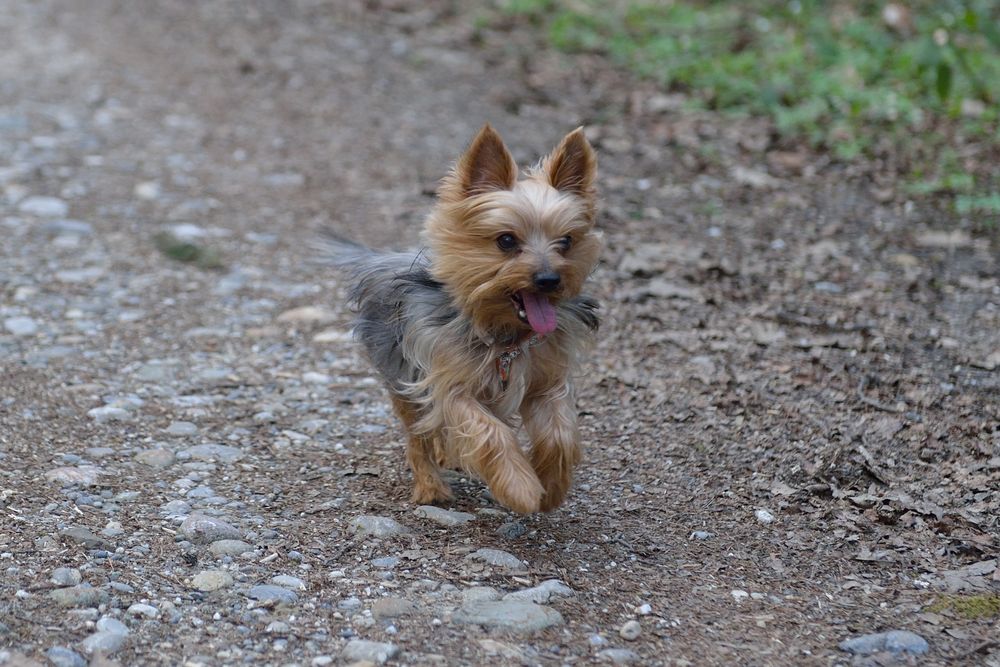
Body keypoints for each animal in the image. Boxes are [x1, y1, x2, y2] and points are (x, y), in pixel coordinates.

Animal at [324, 122, 596, 516]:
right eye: (506, 240)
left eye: (567, 241)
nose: (549, 279)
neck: (505, 336)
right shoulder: (451, 387)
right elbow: (490, 432)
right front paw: (520, 488)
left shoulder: (546, 383)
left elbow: (560, 434)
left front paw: (553, 487)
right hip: (403, 378)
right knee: (418, 436)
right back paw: (430, 487)